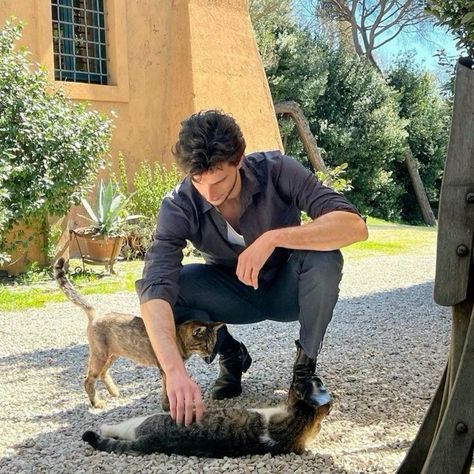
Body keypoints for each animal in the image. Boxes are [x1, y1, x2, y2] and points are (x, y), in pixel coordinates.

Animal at [52, 258, 223, 410]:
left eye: (213, 343)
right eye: (205, 345)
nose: (210, 353)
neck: (179, 338)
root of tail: (97, 314)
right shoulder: (165, 369)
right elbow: (167, 390)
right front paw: (167, 406)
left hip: (111, 355)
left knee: (102, 373)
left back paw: (114, 391)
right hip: (100, 355)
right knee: (88, 379)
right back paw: (97, 403)